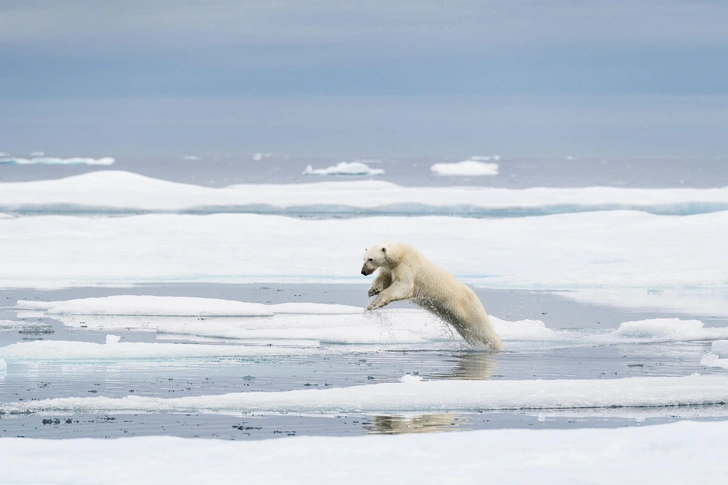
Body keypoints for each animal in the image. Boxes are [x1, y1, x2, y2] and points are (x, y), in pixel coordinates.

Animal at [362, 241, 504, 348]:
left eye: (371, 259)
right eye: (363, 258)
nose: (363, 272)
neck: (400, 254)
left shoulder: (407, 266)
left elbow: (403, 286)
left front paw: (374, 304)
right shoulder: (389, 268)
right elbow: (383, 279)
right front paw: (373, 290)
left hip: (468, 307)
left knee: (482, 328)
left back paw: (496, 346)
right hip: (456, 319)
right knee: (468, 332)